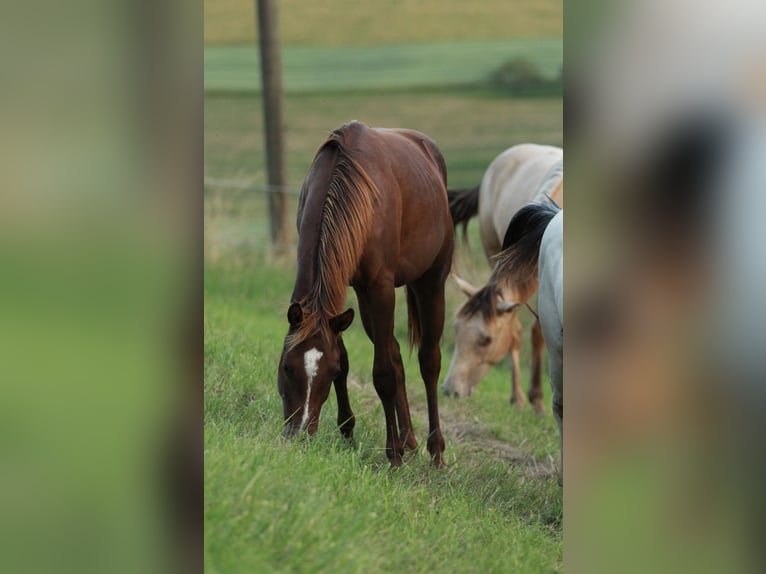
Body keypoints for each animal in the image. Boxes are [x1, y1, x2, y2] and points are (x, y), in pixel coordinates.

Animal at [278, 120, 452, 468]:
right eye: (287, 366)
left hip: (430, 282)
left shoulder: (380, 288)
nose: (300, 434)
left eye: (326, 373)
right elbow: (353, 356)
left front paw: (393, 456)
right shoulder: (346, 293)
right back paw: (409, 438)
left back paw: (435, 450)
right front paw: (347, 428)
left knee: (429, 360)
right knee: (396, 352)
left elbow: (383, 373)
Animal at [444, 144, 564, 410]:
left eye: (486, 340)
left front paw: (537, 401)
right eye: (456, 330)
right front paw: (527, 399)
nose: (450, 390)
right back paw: (517, 397)